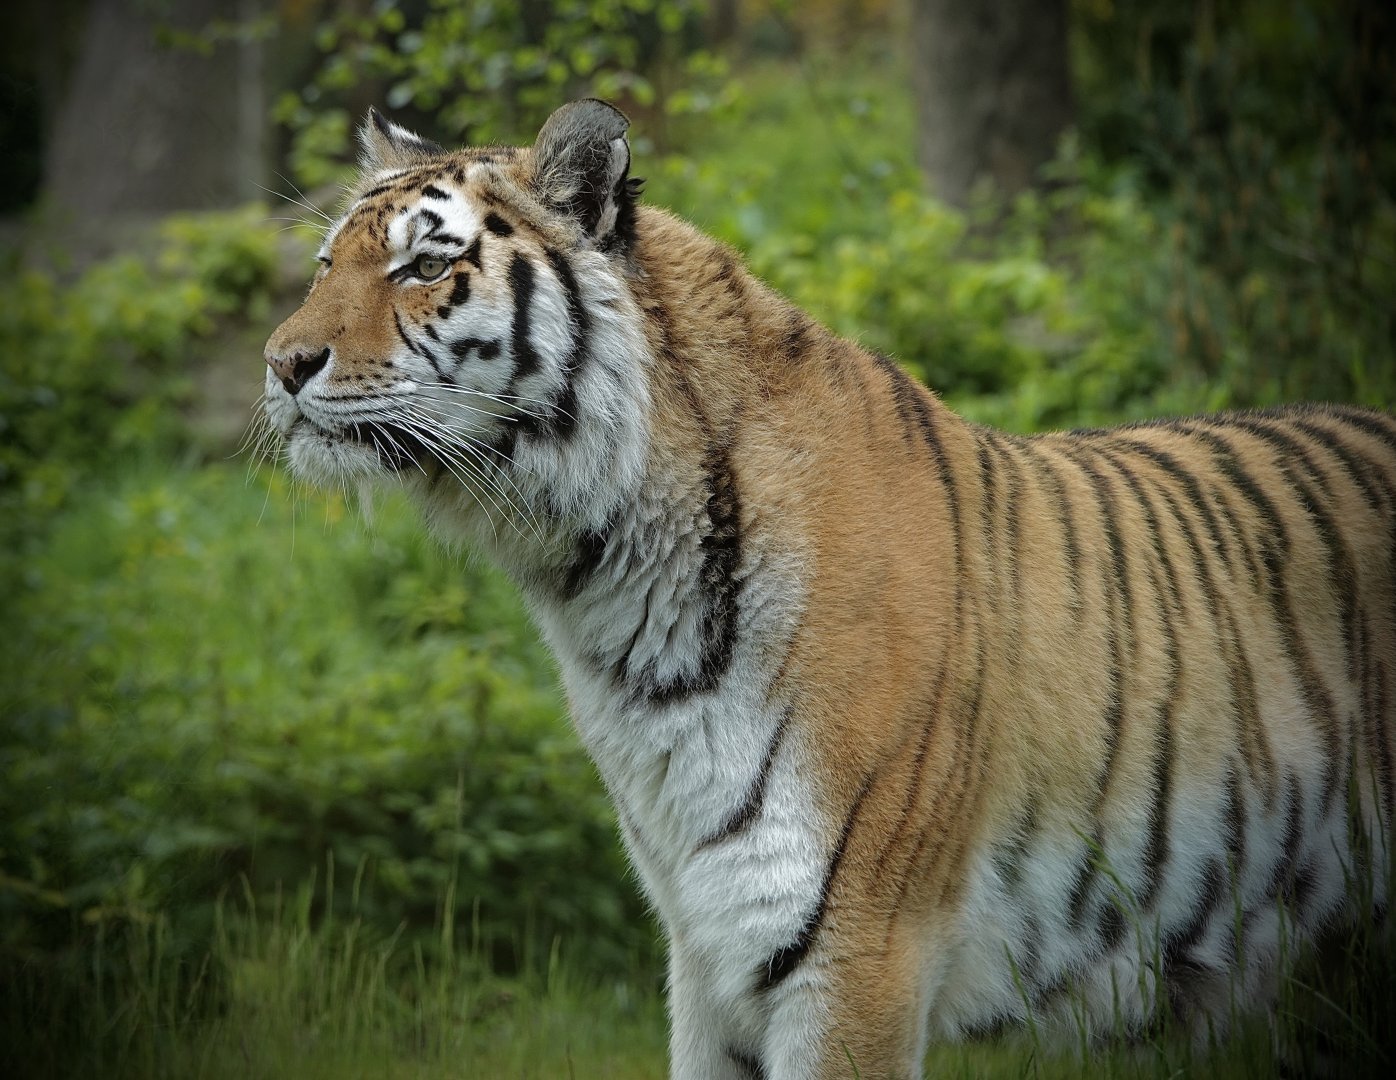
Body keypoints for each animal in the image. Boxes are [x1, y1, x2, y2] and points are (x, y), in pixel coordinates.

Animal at [262, 100, 1396, 1079]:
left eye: (425, 264)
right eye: (325, 265)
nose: (280, 364)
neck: (604, 589)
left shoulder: (856, 951)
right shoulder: (707, 949)